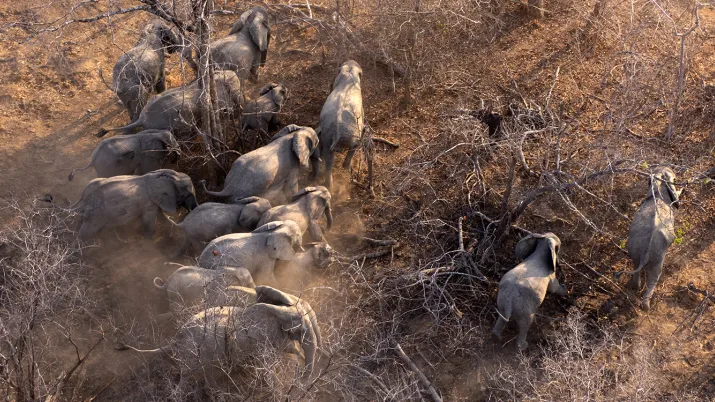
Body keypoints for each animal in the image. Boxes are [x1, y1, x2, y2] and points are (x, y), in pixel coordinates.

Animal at [50, 169, 197, 241]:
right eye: (187, 194)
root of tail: (84, 201)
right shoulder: (148, 203)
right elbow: (150, 221)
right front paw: (148, 241)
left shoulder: (155, 201)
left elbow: (161, 217)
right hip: (96, 215)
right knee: (86, 233)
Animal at [115, 285, 321, 379]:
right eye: (301, 330)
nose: (300, 377)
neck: (279, 309)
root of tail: (174, 340)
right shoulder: (263, 338)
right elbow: (286, 349)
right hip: (198, 358)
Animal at [313, 60, 369, 190]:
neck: (349, 74)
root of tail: (338, 132)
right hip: (346, 134)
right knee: (353, 146)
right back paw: (344, 169)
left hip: (328, 134)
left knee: (328, 157)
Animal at [616, 167, 680, 310]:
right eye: (673, 177)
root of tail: (645, 255)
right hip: (657, 258)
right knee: (654, 277)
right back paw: (645, 306)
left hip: (634, 249)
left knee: (635, 264)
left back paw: (635, 287)